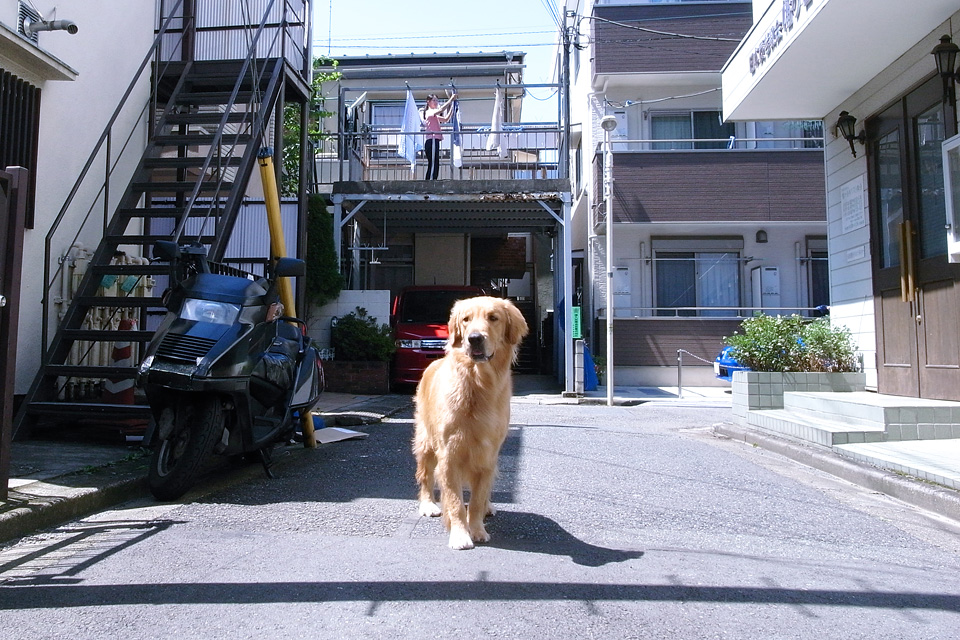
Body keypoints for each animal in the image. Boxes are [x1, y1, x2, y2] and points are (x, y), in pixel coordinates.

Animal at [412, 296, 529, 549]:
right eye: (466, 319)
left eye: (493, 318)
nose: (474, 338)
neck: (478, 382)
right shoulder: (449, 453)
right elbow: (455, 502)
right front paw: (460, 535)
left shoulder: (488, 454)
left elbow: (476, 500)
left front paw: (476, 529)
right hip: (426, 442)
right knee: (425, 476)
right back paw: (428, 505)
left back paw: (488, 507)